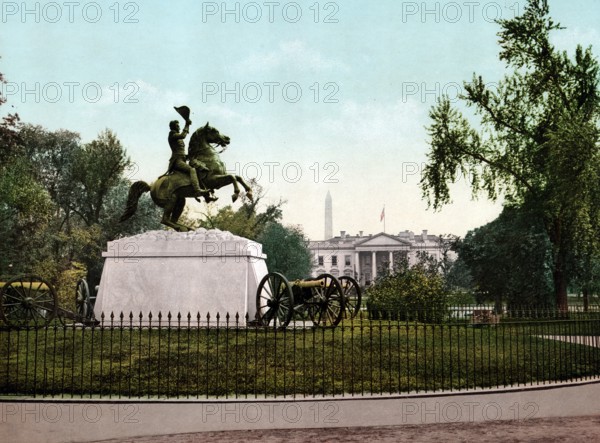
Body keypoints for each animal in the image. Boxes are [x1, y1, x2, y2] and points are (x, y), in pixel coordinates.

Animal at [119, 121, 253, 232]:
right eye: (214, 130)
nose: (227, 138)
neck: (207, 157)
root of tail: (151, 187)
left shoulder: (219, 179)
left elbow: (238, 177)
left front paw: (250, 193)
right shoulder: (213, 181)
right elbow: (232, 177)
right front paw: (235, 194)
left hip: (180, 201)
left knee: (172, 219)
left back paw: (187, 228)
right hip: (171, 200)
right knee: (165, 220)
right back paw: (182, 228)